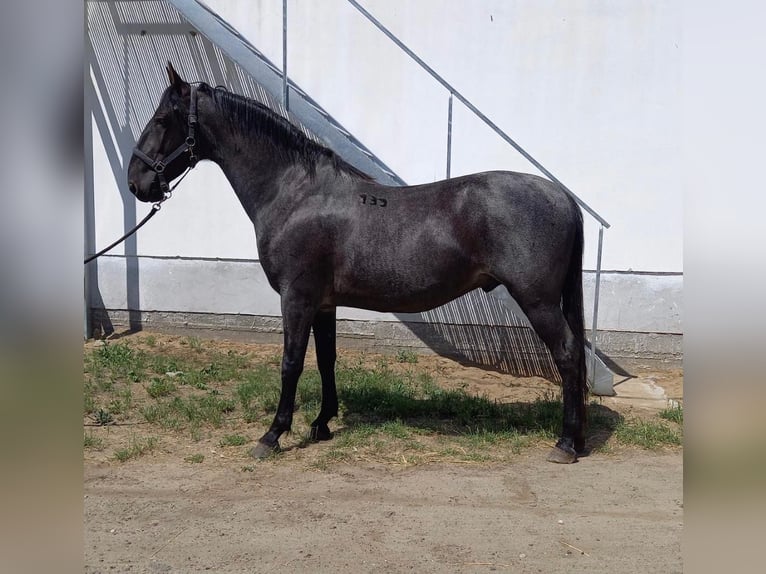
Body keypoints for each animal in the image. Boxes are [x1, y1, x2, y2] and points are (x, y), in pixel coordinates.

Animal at [129, 63, 592, 466]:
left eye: (162, 118)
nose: (137, 182)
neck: (296, 192)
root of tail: (563, 197)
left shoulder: (297, 298)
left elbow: (291, 362)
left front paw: (273, 435)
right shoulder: (323, 303)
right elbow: (326, 358)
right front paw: (321, 423)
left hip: (537, 301)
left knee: (568, 354)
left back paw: (566, 444)